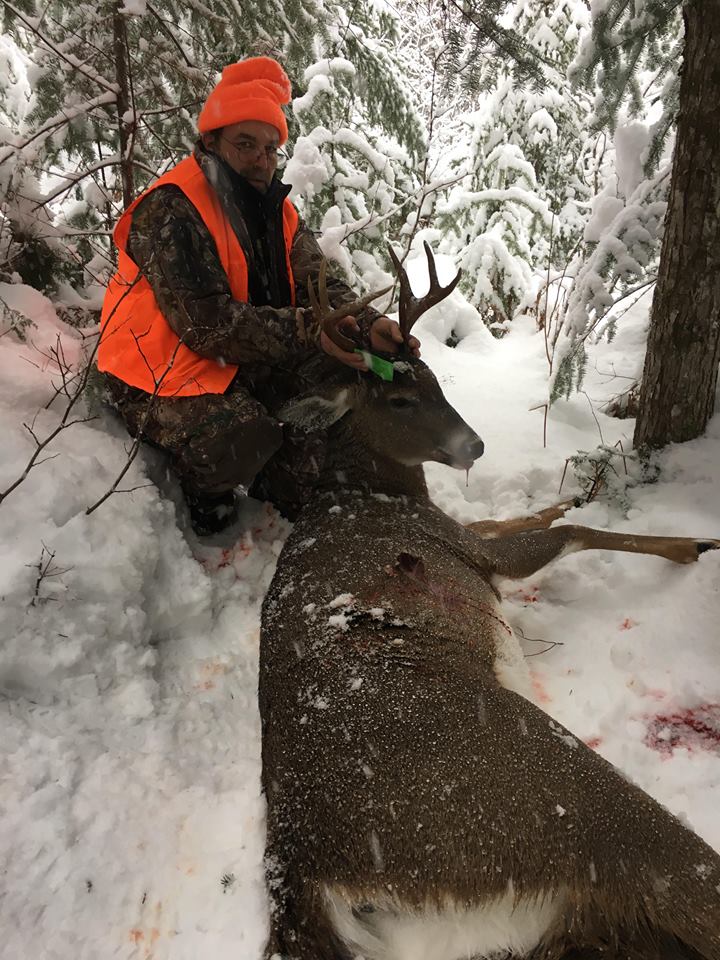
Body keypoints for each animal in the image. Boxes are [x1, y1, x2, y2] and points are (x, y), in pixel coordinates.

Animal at [258, 246, 720, 960]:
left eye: (436, 379)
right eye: (401, 396)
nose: (474, 446)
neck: (368, 491)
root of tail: (299, 872)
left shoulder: (461, 531)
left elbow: (520, 517)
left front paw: (567, 493)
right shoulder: (468, 550)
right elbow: (568, 533)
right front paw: (692, 541)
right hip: (554, 805)